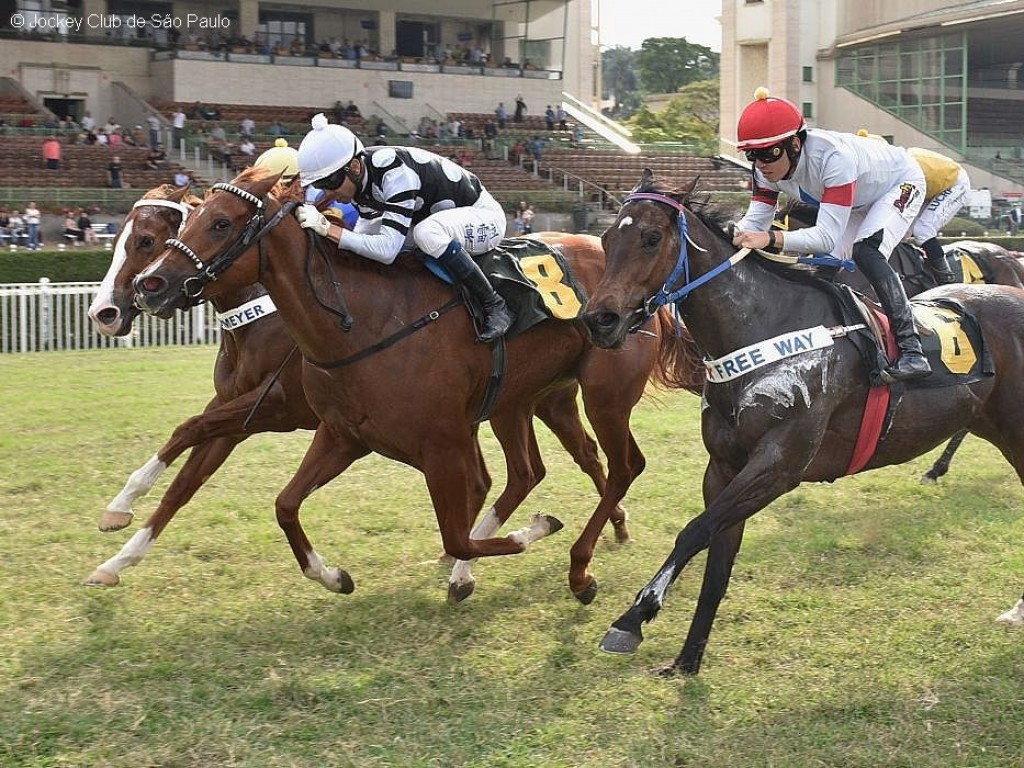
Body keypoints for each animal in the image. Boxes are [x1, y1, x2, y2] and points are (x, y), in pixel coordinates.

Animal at [88, 183, 700, 598]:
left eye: (149, 239)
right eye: (127, 238)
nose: (122, 302)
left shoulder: (281, 409)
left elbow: (190, 440)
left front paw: (119, 517)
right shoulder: (307, 421)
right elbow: (195, 473)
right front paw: (117, 550)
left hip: (596, 396)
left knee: (605, 464)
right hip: (532, 399)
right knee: (556, 465)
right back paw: (603, 528)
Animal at [585, 171, 1024, 675]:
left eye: (651, 238)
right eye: (606, 239)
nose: (598, 320)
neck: (763, 329)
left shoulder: (781, 464)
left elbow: (693, 530)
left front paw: (633, 618)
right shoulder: (724, 467)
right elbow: (716, 558)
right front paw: (687, 660)